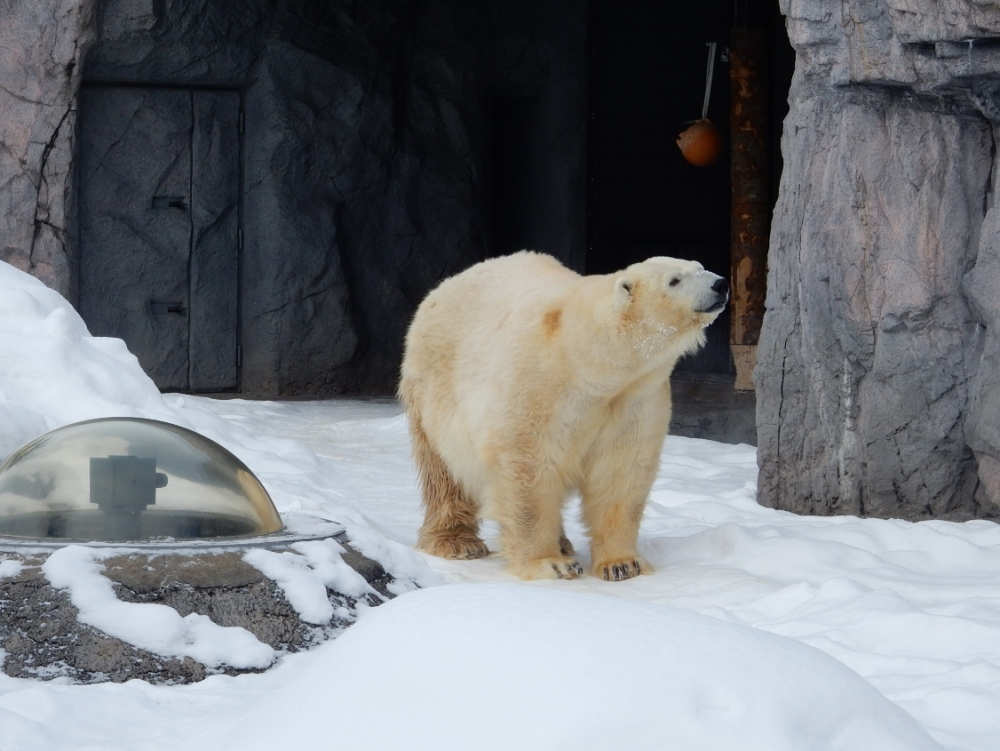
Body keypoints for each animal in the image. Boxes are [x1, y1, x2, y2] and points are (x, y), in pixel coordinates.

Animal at [396, 253, 728, 580]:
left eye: (699, 266)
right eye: (674, 280)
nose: (720, 284)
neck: (591, 363)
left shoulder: (634, 398)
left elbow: (621, 471)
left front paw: (622, 564)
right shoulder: (541, 386)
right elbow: (531, 468)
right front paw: (550, 563)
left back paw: (563, 542)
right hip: (434, 389)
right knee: (444, 472)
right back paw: (457, 542)